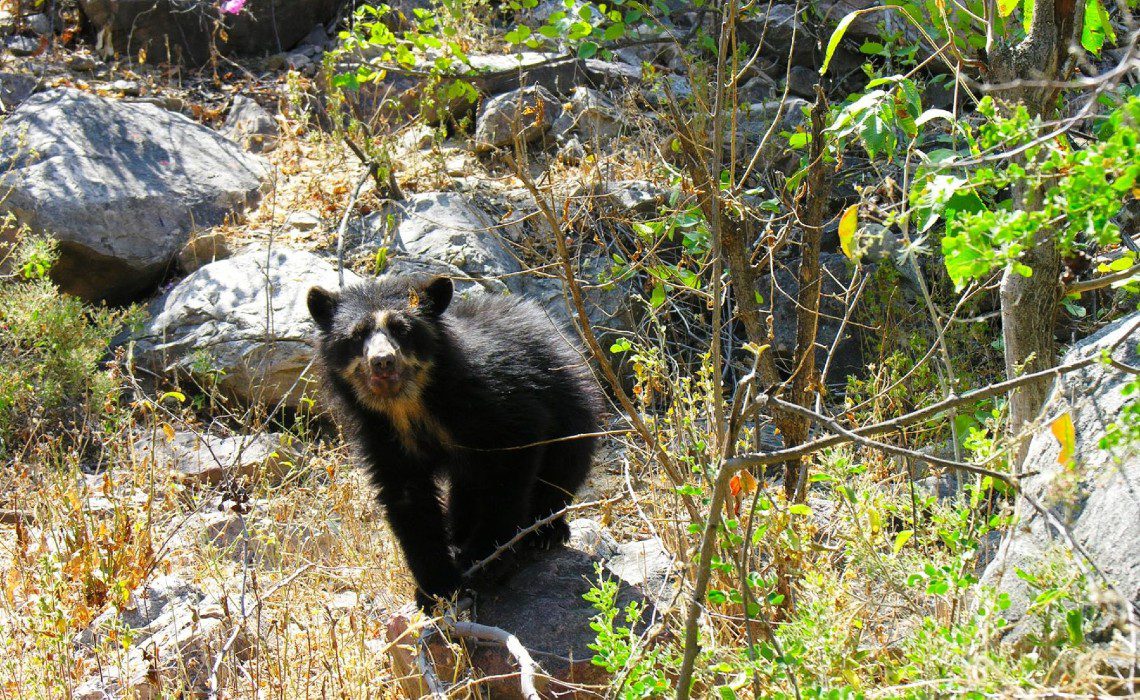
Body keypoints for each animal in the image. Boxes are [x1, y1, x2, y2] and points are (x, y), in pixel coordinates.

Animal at [307, 274, 603, 609]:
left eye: (402, 329)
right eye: (356, 335)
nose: (382, 361)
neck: (409, 404)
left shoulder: (496, 399)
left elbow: (510, 470)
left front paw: (484, 559)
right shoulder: (382, 436)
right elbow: (409, 501)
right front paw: (437, 586)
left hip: (573, 404)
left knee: (566, 465)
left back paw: (546, 531)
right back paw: (459, 533)